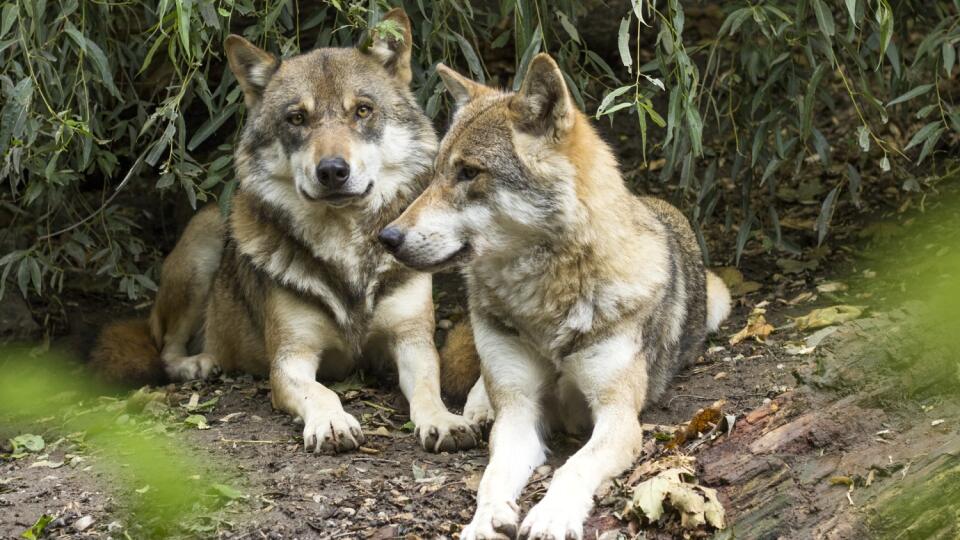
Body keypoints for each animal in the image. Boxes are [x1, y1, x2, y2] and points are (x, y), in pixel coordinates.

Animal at [91, 9, 480, 456]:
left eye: (362, 111)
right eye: (297, 118)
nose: (332, 171)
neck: (344, 246)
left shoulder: (413, 343)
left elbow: (429, 389)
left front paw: (444, 421)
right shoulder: (290, 359)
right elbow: (322, 392)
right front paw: (331, 423)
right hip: (204, 244)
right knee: (165, 348)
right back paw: (198, 363)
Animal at [378, 53, 732, 536]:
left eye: (469, 172)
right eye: (435, 174)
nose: (387, 237)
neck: (545, 304)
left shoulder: (619, 418)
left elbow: (573, 467)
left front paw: (550, 515)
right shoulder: (520, 413)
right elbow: (493, 476)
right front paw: (484, 521)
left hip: (720, 299)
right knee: (482, 387)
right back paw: (477, 410)